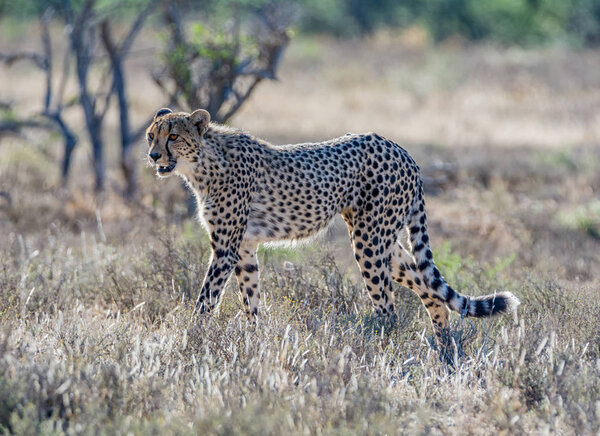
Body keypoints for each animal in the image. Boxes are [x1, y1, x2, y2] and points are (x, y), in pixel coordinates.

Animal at [146, 109, 520, 338]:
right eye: (151, 136)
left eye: (174, 137)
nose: (152, 156)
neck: (203, 163)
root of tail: (402, 150)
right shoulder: (244, 248)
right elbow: (250, 299)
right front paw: (253, 341)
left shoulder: (225, 248)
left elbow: (206, 299)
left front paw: (192, 338)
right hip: (384, 242)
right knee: (431, 292)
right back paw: (445, 354)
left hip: (369, 242)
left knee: (388, 308)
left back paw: (382, 350)